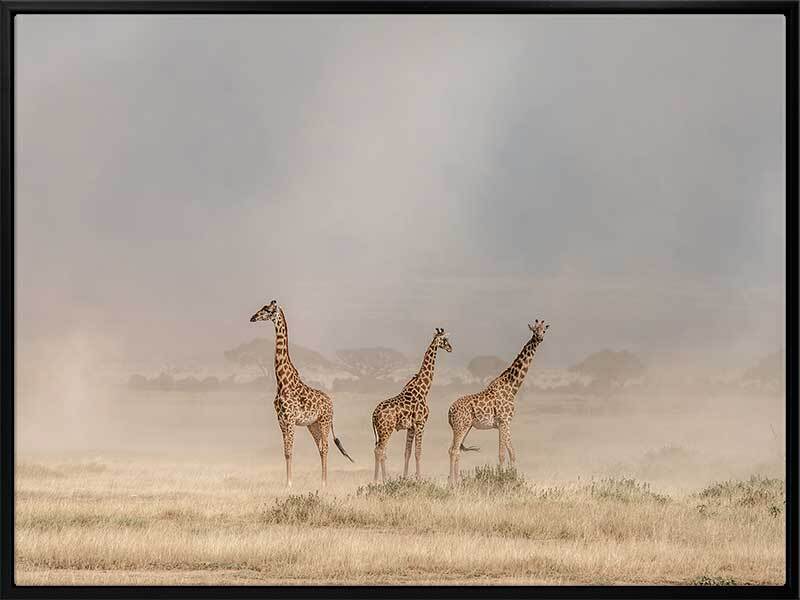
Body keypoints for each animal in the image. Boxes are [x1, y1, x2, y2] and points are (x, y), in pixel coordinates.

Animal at [250, 300, 353, 488]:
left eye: (267, 310)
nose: (253, 317)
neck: (282, 381)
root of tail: (331, 403)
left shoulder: (290, 420)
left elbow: (290, 451)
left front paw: (289, 484)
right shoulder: (281, 421)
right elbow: (286, 451)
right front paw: (287, 483)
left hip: (324, 422)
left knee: (326, 447)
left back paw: (324, 483)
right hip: (312, 425)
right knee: (320, 448)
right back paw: (321, 482)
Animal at [371, 328, 452, 482]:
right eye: (445, 339)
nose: (451, 348)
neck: (423, 389)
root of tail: (373, 415)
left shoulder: (411, 427)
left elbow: (407, 452)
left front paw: (405, 478)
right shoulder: (421, 423)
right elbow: (418, 452)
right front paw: (419, 478)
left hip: (381, 431)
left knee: (380, 450)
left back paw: (379, 479)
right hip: (387, 429)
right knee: (380, 450)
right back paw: (380, 480)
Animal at [447, 319, 549, 484]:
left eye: (544, 330)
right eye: (534, 330)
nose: (539, 338)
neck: (512, 388)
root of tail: (449, 411)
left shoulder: (506, 423)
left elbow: (512, 453)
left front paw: (513, 478)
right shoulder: (503, 421)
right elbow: (502, 454)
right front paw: (502, 479)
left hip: (464, 427)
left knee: (454, 450)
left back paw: (457, 482)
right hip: (460, 427)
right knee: (454, 450)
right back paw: (453, 484)